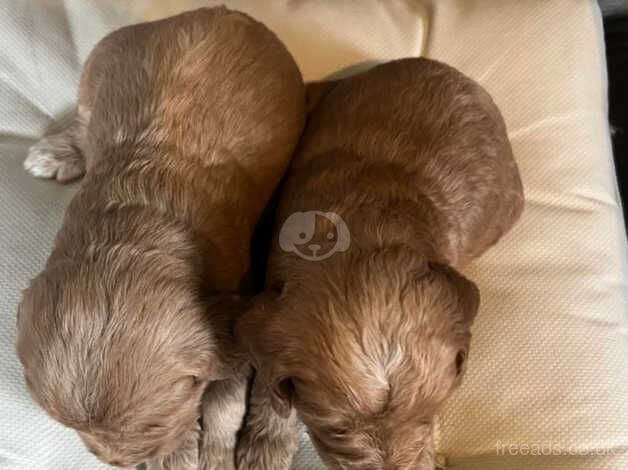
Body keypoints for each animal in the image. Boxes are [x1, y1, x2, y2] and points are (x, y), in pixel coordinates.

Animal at [15, 8, 306, 470]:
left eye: (156, 425)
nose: (119, 461)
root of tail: (226, 10)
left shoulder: (234, 320)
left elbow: (224, 401)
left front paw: (213, 453)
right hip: (100, 66)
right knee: (83, 120)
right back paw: (55, 153)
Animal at [238, 58, 524, 470]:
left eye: (427, 415)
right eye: (337, 431)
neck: (363, 230)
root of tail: (458, 75)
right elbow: (268, 380)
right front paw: (266, 443)